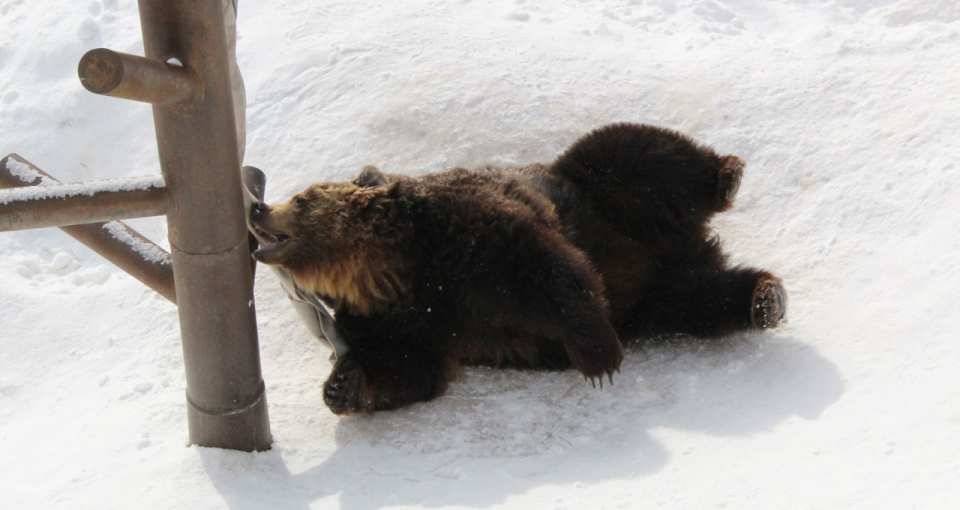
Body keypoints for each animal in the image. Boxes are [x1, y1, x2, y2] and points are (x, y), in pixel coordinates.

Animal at [249, 123, 787, 415]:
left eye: (301, 198)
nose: (258, 209)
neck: (391, 269)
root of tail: (685, 245)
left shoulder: (468, 234)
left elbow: (548, 271)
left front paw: (599, 358)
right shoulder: (401, 320)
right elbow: (412, 367)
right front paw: (342, 385)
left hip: (602, 194)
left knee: (633, 151)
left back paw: (727, 176)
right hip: (657, 298)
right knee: (701, 299)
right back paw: (763, 298)